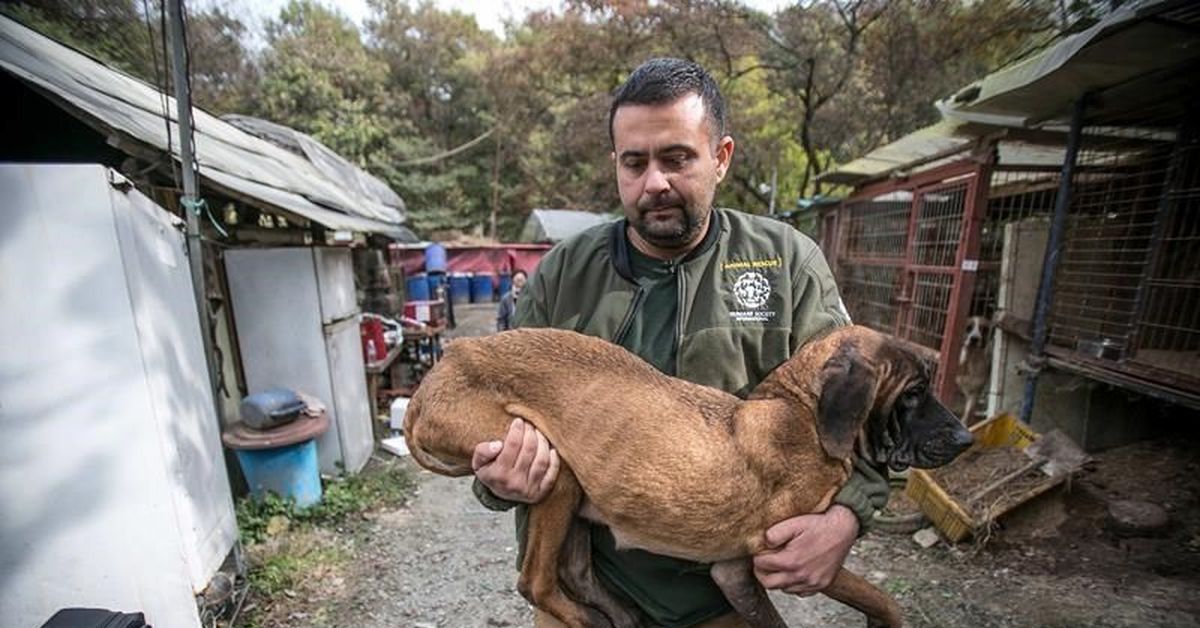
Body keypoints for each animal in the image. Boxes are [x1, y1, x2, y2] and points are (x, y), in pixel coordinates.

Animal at [405, 326, 974, 624]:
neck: (801, 412)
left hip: (573, 496)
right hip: (556, 471)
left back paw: (621, 616)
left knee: (575, 573)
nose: (968, 439)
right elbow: (879, 596)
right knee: (535, 581)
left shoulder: (735, 574)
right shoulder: (773, 557)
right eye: (914, 393)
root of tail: (445, 363)